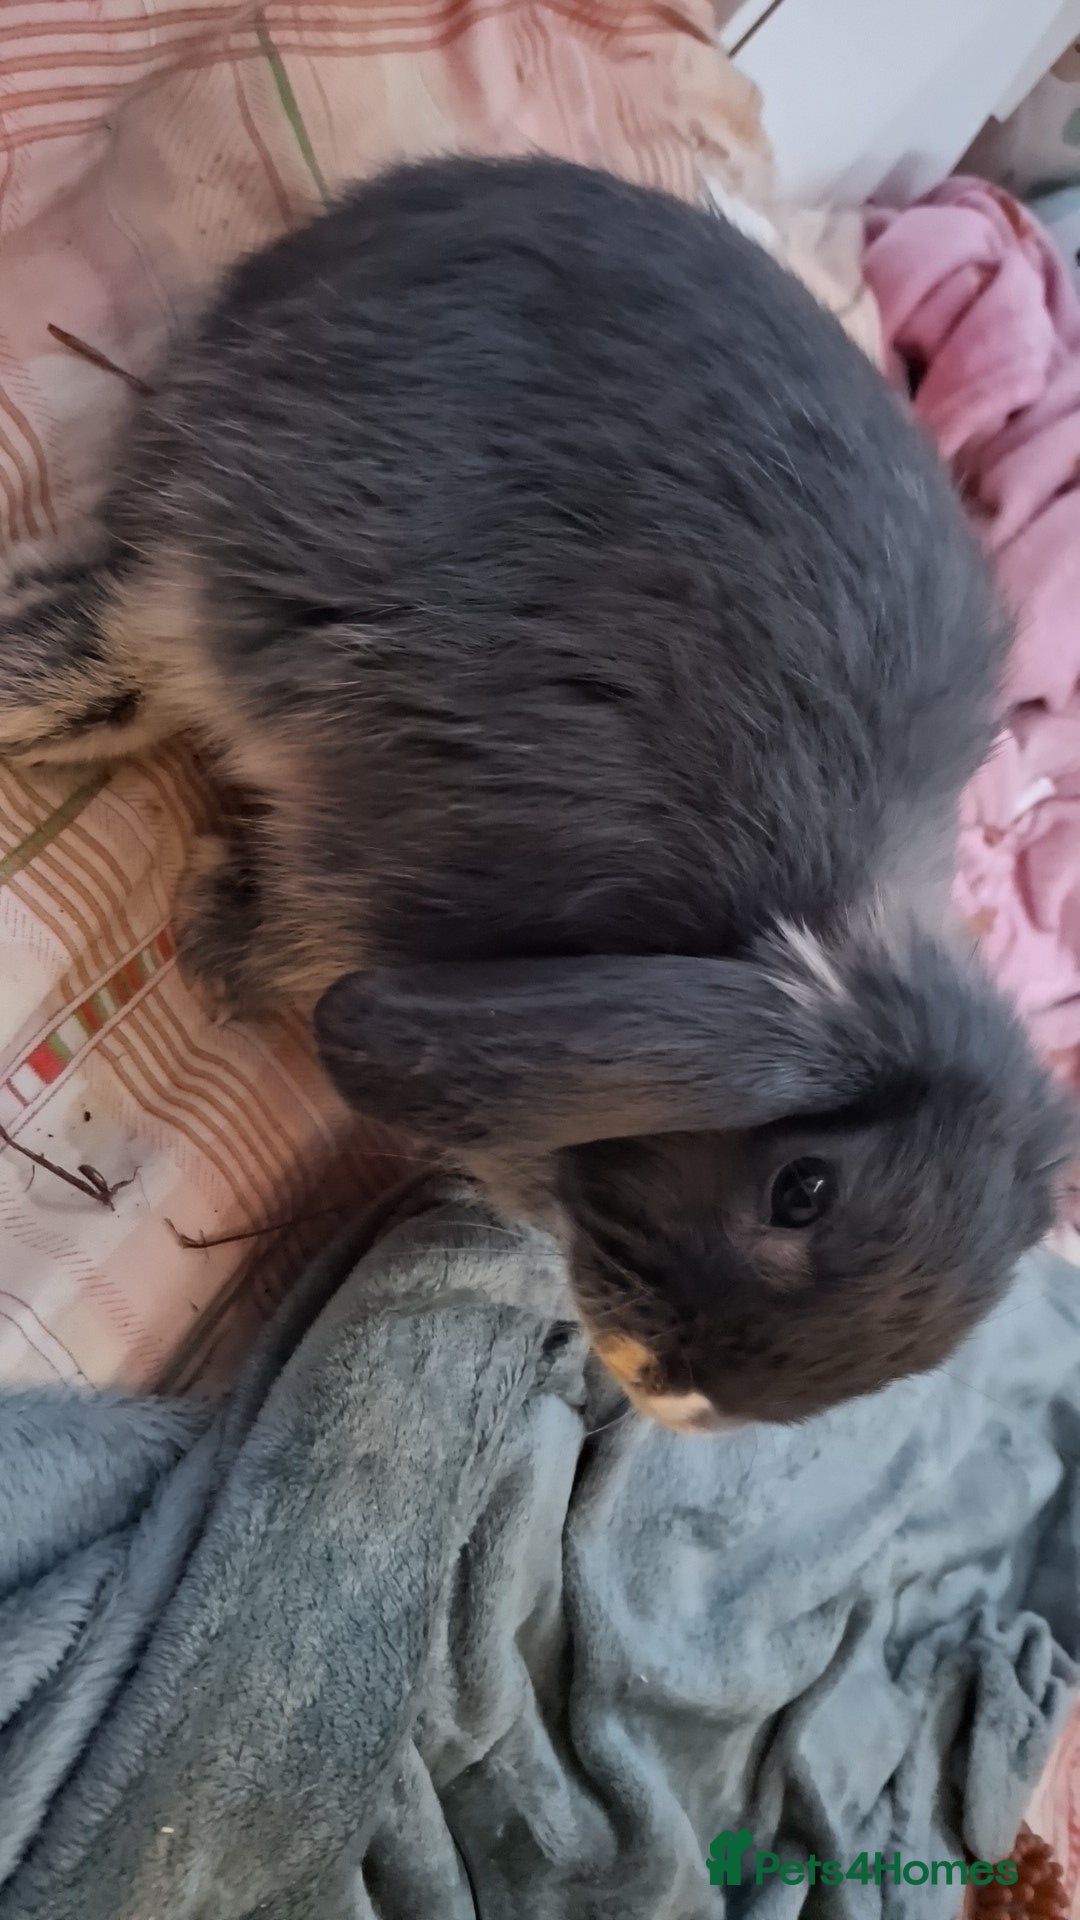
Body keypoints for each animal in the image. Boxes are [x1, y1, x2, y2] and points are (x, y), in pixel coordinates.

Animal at [0, 155, 1070, 1429]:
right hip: (265, 567)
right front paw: (215, 924)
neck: (740, 922)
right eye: (802, 1188)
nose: (671, 1393)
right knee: (124, 636)